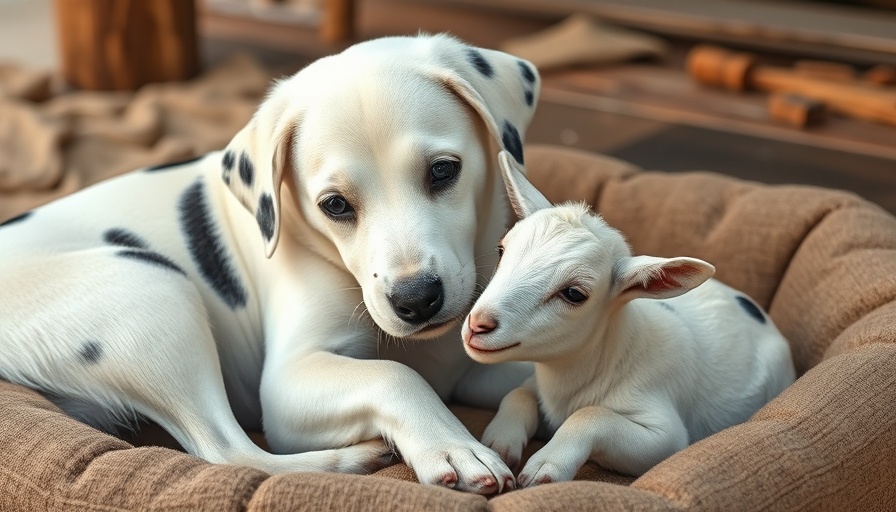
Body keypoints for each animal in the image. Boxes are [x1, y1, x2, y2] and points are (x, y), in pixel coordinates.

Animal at [0, 34, 540, 494]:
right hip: (153, 292)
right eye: (334, 205)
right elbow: (393, 375)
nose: (416, 300)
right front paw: (451, 446)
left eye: (444, 171)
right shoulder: (286, 385)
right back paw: (350, 459)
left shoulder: (473, 371)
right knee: (228, 451)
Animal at [466, 152, 796, 488]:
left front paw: (545, 467)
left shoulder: (665, 433)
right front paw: (499, 442)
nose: (478, 325)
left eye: (573, 293)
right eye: (501, 250)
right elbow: (518, 393)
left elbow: (591, 416)